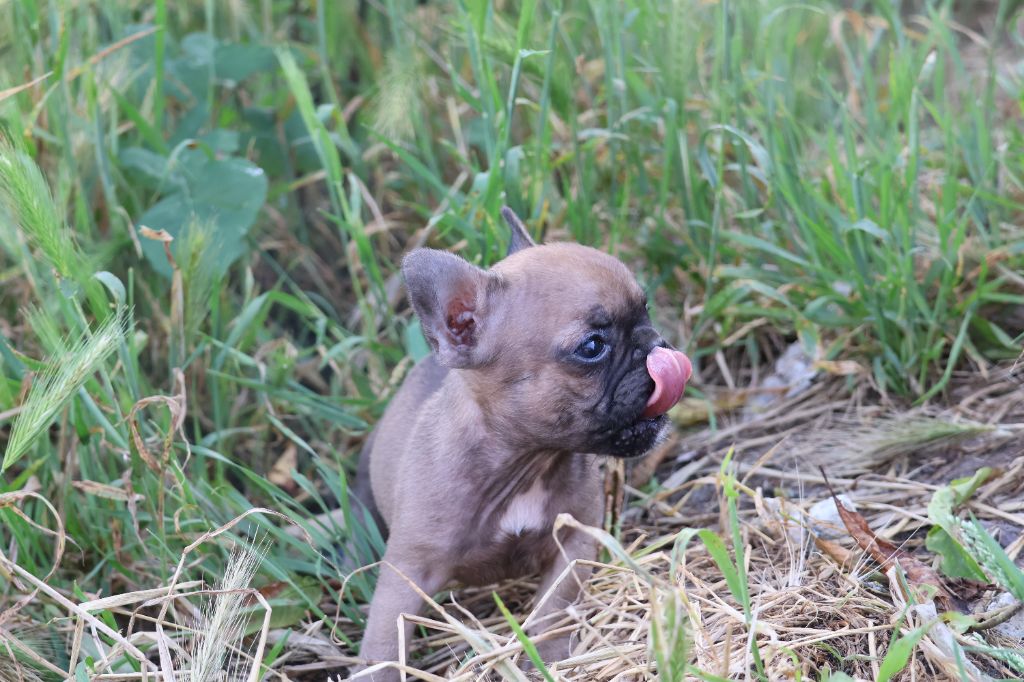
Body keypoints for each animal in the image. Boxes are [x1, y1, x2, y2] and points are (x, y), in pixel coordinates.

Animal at [348, 208, 692, 679]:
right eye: (592, 347)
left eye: (647, 311)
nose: (658, 346)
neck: (527, 461)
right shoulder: (406, 574)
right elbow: (384, 640)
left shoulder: (574, 542)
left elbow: (555, 605)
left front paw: (547, 655)